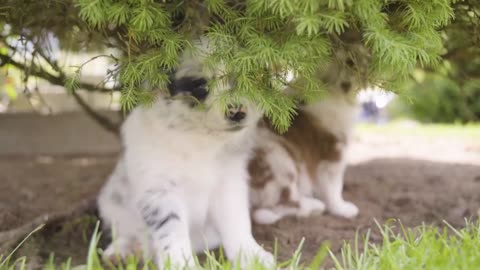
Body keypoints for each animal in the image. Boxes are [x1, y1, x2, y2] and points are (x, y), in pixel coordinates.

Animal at [97, 39, 274, 268]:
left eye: (248, 78)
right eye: (200, 86)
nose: (237, 112)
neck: (198, 137)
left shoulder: (229, 183)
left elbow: (237, 223)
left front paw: (252, 256)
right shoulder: (160, 190)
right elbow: (172, 233)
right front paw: (181, 264)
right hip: (112, 205)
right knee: (130, 232)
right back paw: (123, 251)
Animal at [248, 42, 368, 224]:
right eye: (350, 62)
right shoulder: (332, 156)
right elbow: (334, 188)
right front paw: (342, 209)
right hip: (280, 160)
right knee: (278, 206)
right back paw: (313, 207)